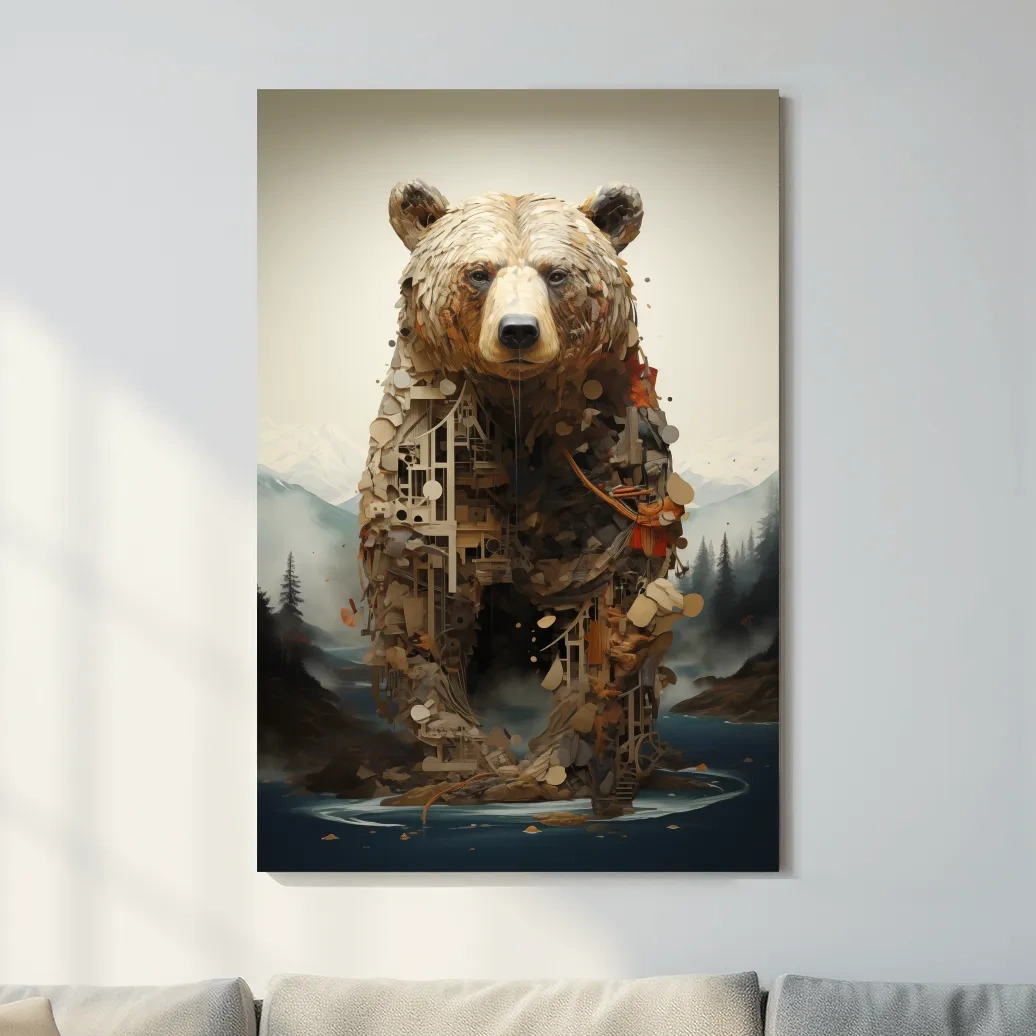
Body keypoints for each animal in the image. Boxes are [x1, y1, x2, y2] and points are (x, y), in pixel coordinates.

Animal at [357, 180, 700, 815]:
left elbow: (599, 616)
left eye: (556, 273)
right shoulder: (428, 474)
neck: (518, 412)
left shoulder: (602, 473)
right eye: (479, 272)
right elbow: (424, 610)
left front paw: (556, 763)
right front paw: (471, 762)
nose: (518, 330)